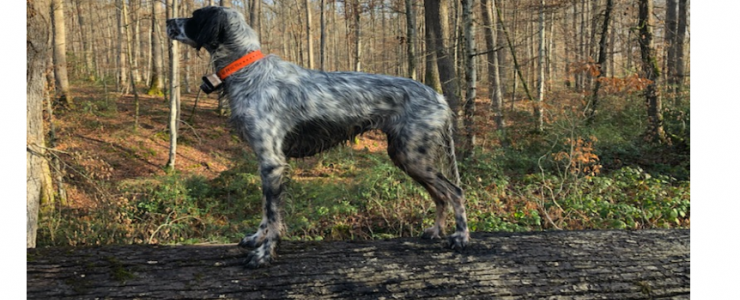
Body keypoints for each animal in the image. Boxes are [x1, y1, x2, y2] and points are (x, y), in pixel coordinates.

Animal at [167, 5, 468, 268]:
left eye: (194, 16)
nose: (168, 21)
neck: (248, 71)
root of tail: (439, 97)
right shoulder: (266, 163)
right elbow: (265, 211)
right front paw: (257, 238)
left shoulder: (272, 162)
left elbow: (273, 215)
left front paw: (264, 254)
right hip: (406, 156)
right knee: (441, 195)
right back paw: (436, 231)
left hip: (412, 156)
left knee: (454, 191)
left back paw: (461, 237)